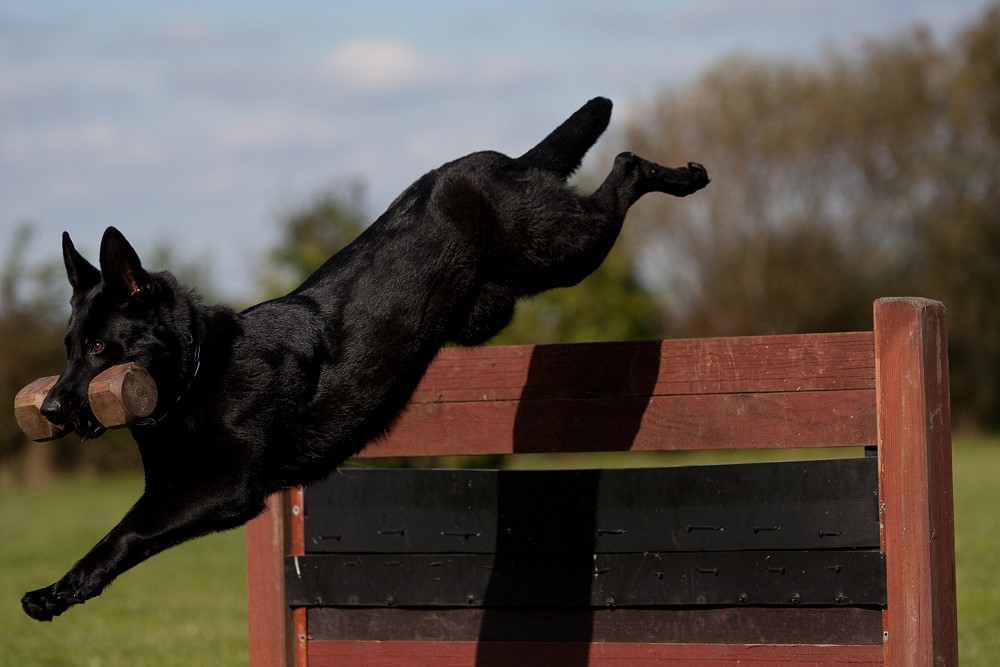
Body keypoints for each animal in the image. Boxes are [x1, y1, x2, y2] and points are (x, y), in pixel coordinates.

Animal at [19, 98, 708, 620]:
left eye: (102, 348)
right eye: (69, 348)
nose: (48, 408)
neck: (198, 373)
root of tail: (502, 160)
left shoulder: (225, 490)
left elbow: (127, 532)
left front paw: (61, 590)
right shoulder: (173, 487)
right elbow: (125, 526)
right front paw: (59, 589)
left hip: (564, 250)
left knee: (624, 167)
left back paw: (684, 175)